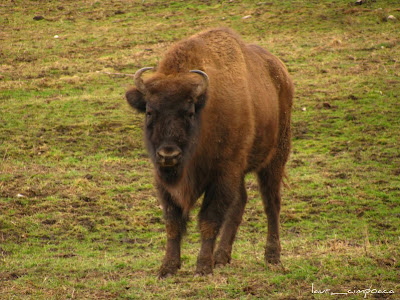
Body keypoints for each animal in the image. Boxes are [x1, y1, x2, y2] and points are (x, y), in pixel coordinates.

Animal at [125, 27, 294, 276]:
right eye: (149, 112)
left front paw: (203, 267)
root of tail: (282, 74)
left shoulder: (222, 174)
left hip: (274, 158)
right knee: (240, 203)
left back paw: (272, 257)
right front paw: (168, 268)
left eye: (189, 112)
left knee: (271, 203)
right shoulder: (164, 181)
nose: (168, 155)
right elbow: (173, 222)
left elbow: (209, 220)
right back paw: (222, 257)